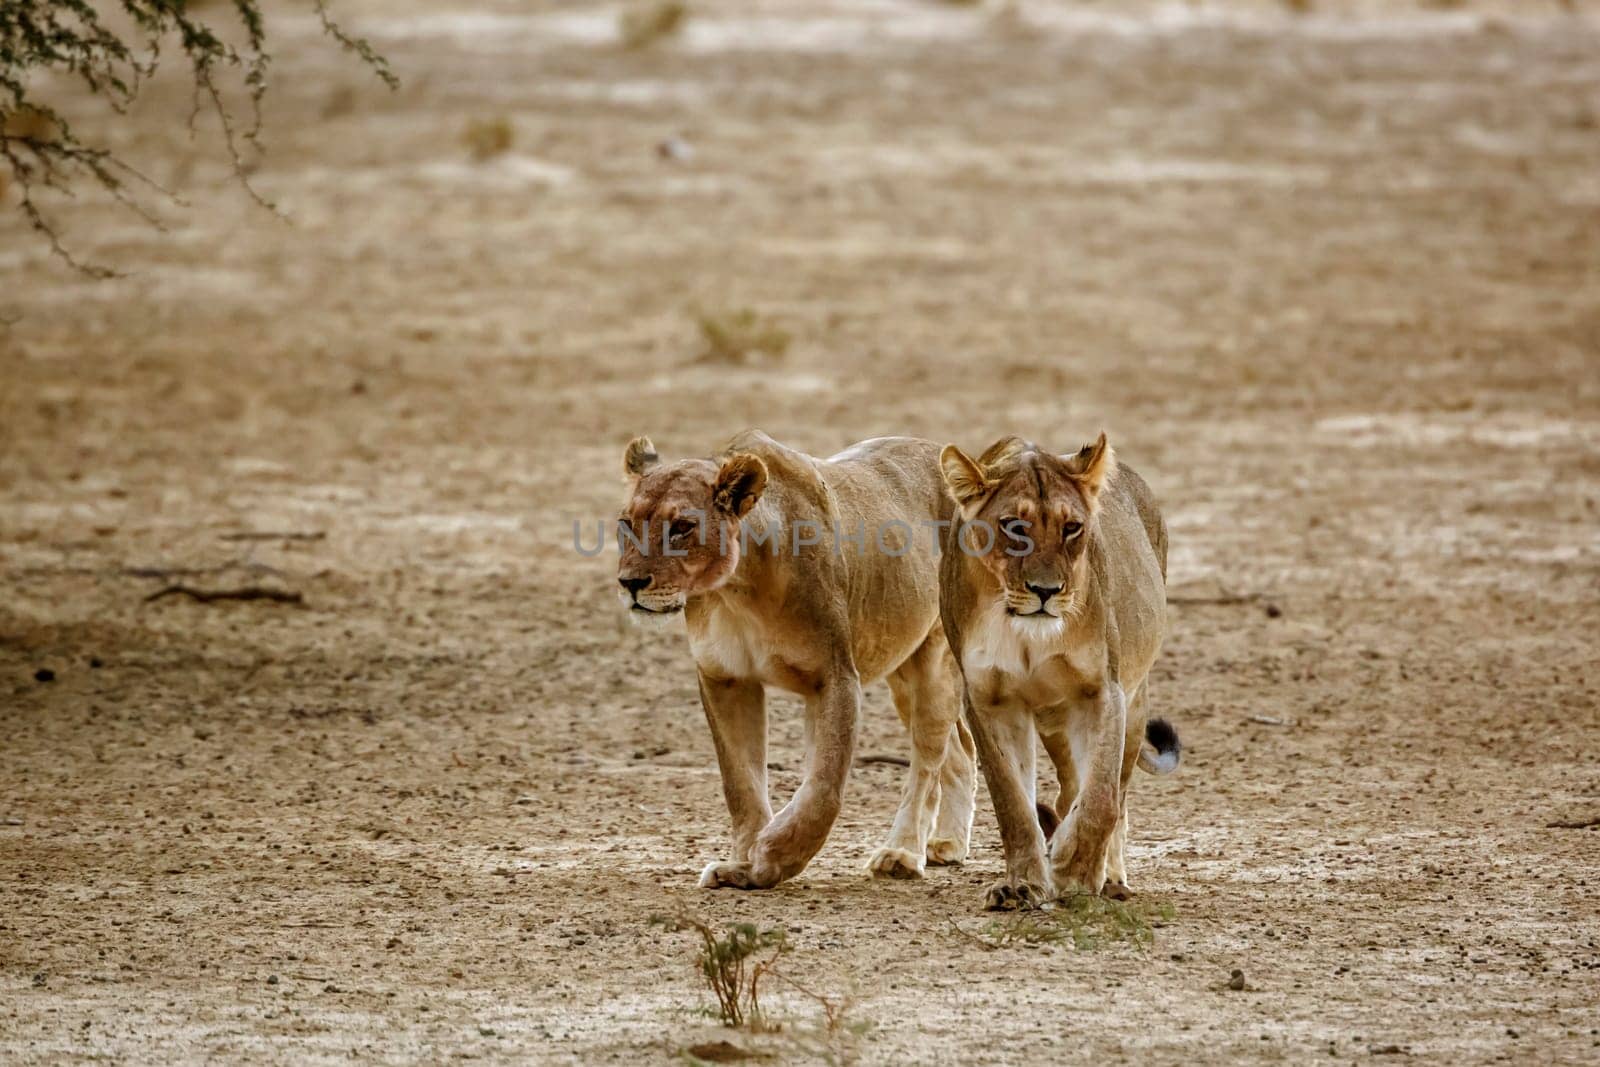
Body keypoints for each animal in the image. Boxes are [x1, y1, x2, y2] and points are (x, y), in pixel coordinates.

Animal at [617, 428, 979, 889]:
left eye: (681, 527)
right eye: (626, 524)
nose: (630, 583)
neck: (736, 589)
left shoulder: (834, 677)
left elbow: (824, 785)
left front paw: (775, 857)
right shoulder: (726, 680)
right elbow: (740, 782)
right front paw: (741, 864)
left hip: (934, 661)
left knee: (927, 759)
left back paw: (901, 853)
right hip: (901, 668)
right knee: (961, 747)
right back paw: (947, 844)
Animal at [934, 435, 1184, 908]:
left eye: (1072, 528)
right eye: (1014, 526)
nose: (1046, 591)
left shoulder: (1102, 691)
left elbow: (1101, 798)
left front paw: (1076, 872)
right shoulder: (989, 701)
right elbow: (1012, 800)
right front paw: (1023, 884)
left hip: (1134, 704)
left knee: (1117, 795)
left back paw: (1112, 877)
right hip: (1055, 723)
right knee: (1069, 786)